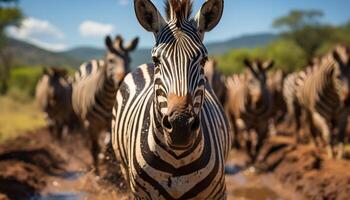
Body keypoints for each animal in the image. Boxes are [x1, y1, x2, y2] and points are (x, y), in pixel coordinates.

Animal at [72, 34, 138, 173]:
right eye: (111, 60)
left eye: (129, 60)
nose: (122, 81)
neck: (108, 100)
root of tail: (92, 62)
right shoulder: (91, 124)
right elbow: (94, 147)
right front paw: (96, 172)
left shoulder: (110, 123)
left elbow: (107, 144)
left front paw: (103, 158)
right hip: (82, 118)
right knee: (89, 140)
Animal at [112, 0, 231, 198]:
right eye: (156, 60)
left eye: (204, 60)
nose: (180, 126)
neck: (177, 160)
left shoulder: (219, 193)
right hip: (122, 165)